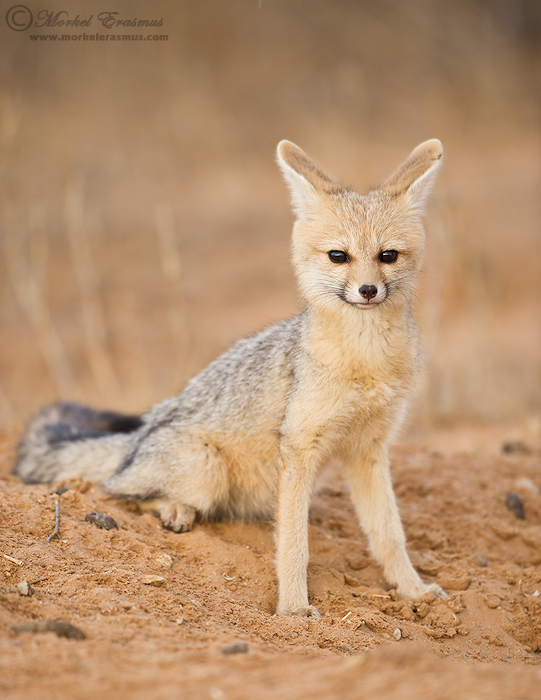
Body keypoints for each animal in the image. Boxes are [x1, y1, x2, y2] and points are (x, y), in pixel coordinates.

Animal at [16, 138, 445, 615]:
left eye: (387, 256)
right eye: (339, 256)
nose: (368, 291)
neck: (365, 360)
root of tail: (142, 433)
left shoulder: (368, 449)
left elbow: (389, 534)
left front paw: (412, 590)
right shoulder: (298, 448)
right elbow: (294, 543)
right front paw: (293, 610)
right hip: (207, 470)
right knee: (118, 492)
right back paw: (174, 510)